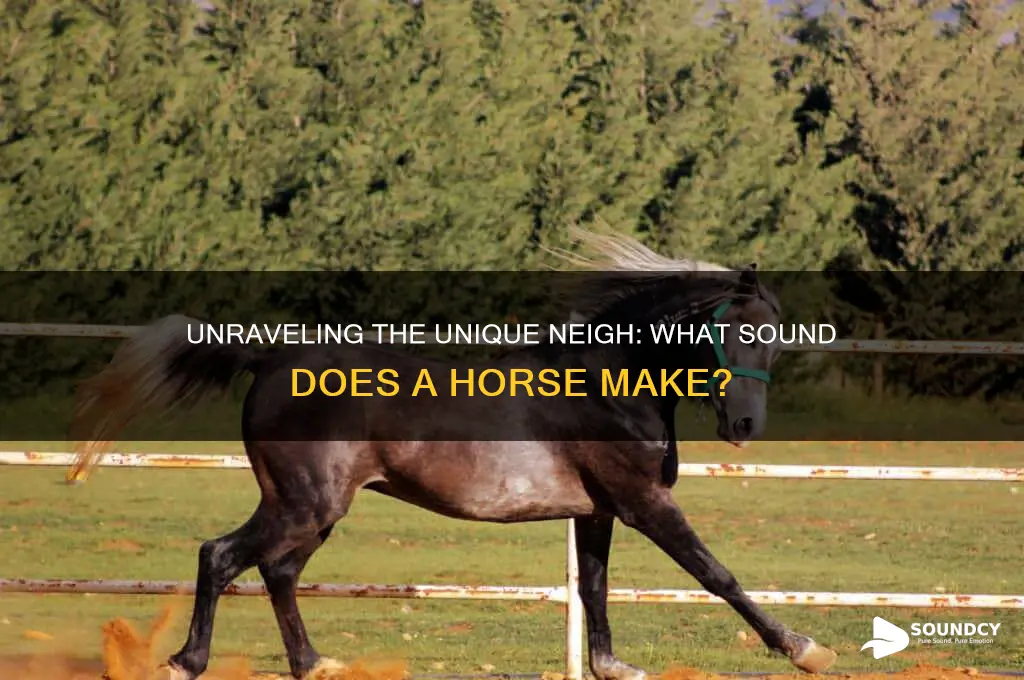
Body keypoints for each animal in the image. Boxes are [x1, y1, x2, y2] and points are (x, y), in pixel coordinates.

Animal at [67, 229, 837, 680]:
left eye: (775, 338)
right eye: (728, 331)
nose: (744, 424)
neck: (606, 383)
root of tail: (270, 358)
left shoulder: (597, 511)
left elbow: (593, 587)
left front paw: (612, 666)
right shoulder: (643, 502)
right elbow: (715, 573)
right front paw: (803, 648)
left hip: (315, 509)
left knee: (276, 571)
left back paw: (314, 664)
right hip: (303, 502)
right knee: (222, 556)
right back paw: (185, 662)